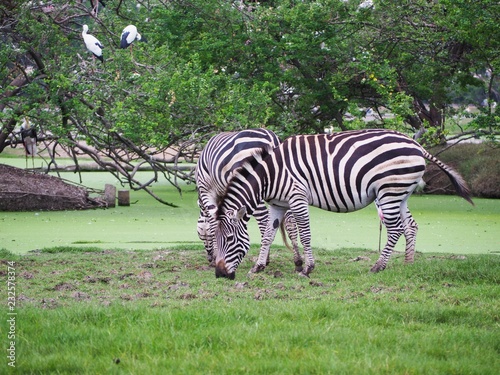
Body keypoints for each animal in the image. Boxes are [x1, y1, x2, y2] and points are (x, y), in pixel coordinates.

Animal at [194, 130, 300, 270]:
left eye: (201, 235)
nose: (210, 259)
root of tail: (272, 138)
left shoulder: (207, 190)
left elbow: (213, 223)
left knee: (264, 219)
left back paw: (263, 261)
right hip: (282, 185)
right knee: (290, 221)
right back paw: (298, 260)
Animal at [214, 129, 472, 280]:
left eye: (229, 239)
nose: (219, 274)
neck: (271, 174)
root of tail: (416, 144)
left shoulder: (298, 198)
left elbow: (305, 234)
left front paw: (307, 269)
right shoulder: (278, 204)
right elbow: (268, 234)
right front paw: (258, 267)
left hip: (389, 191)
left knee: (396, 229)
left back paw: (377, 267)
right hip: (401, 192)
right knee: (410, 226)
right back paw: (408, 264)